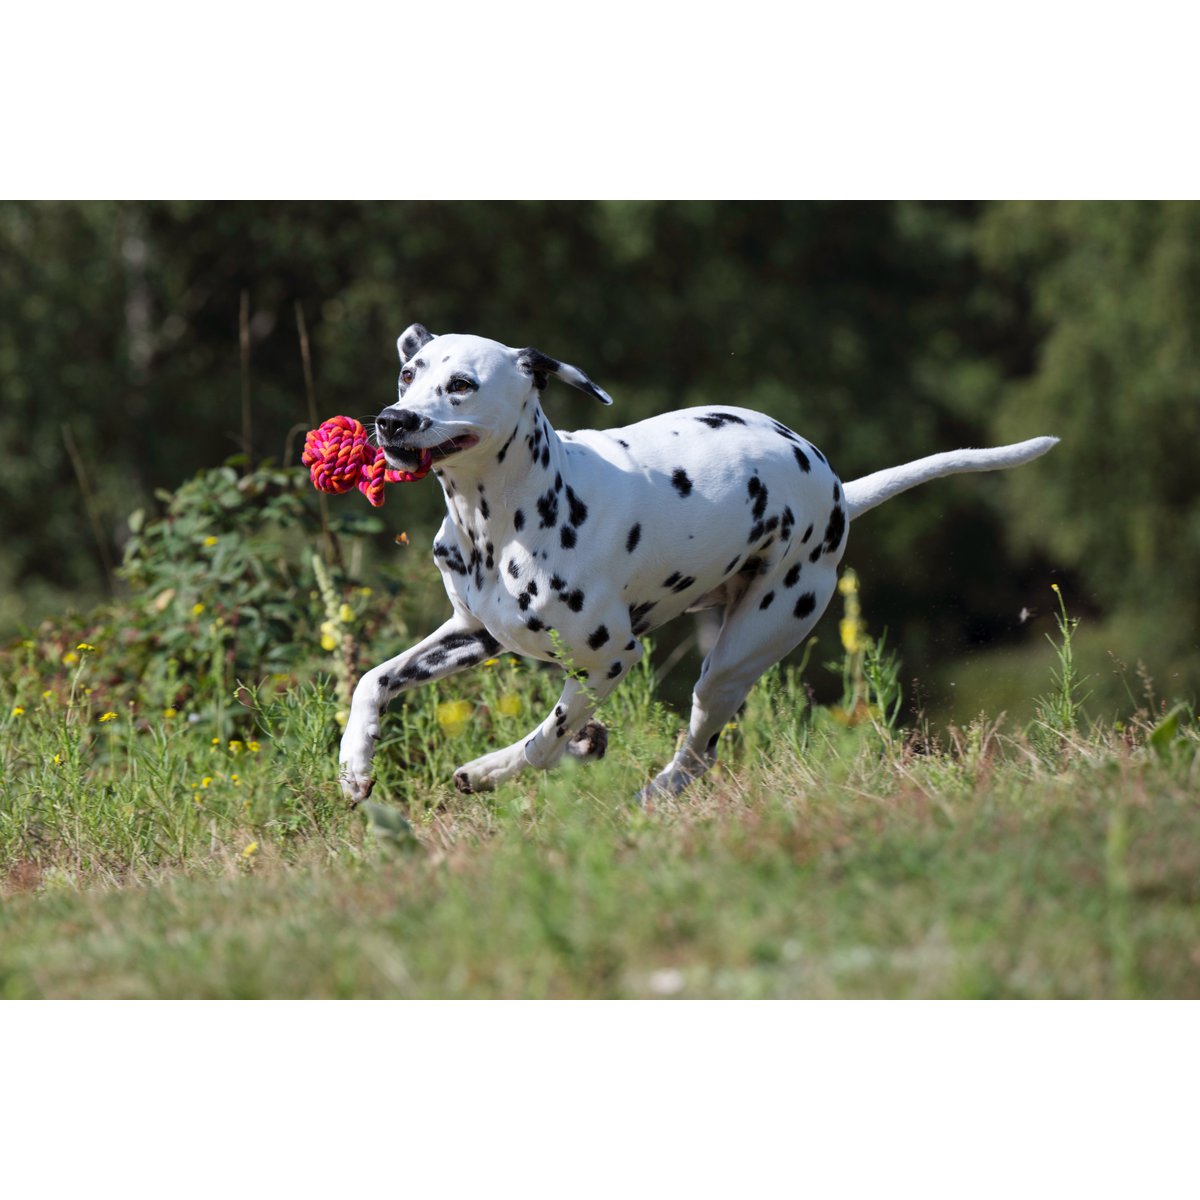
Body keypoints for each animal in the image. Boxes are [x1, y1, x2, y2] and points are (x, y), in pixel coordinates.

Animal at [336, 324, 1051, 801]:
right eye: (409, 373)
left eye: (461, 385)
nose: (393, 420)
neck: (502, 523)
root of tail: (839, 489)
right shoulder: (472, 636)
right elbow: (373, 679)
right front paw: (354, 764)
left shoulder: (612, 659)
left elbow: (544, 739)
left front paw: (489, 770)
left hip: (731, 664)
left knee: (697, 753)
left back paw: (651, 794)